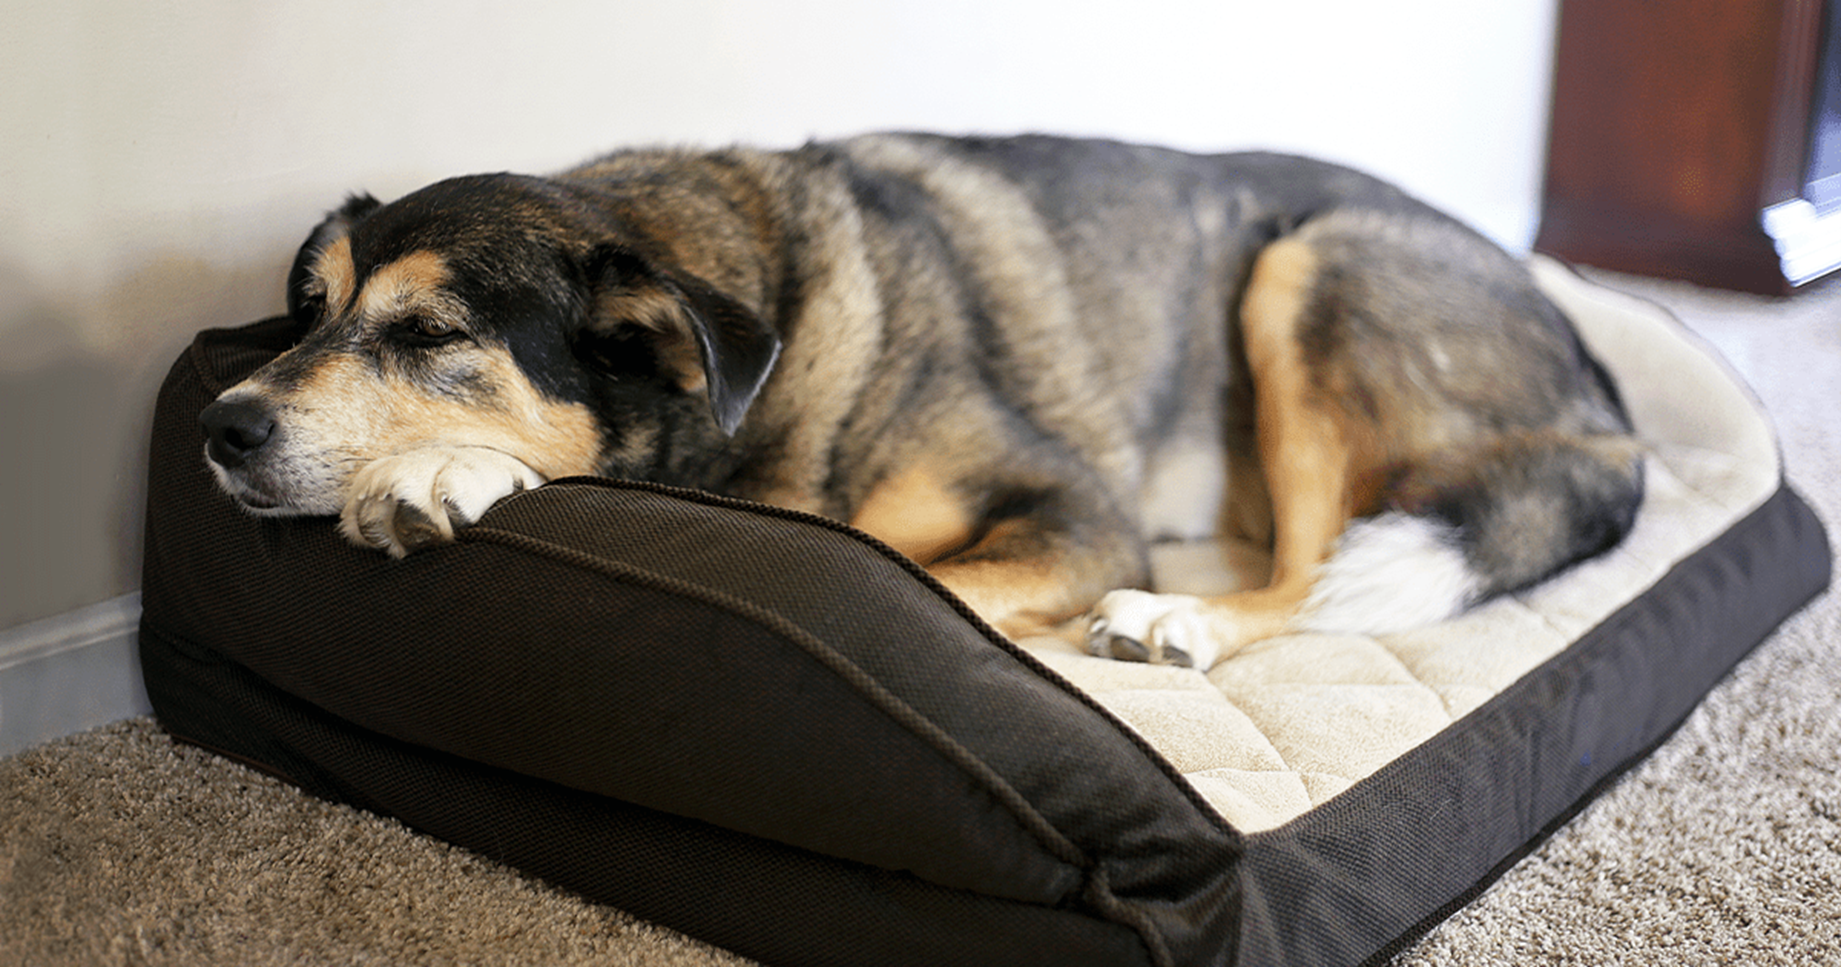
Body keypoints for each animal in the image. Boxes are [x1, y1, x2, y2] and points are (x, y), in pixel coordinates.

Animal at [197, 131, 1642, 666]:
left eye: (431, 331)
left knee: (1313, 574)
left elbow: (921, 580)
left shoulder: (1074, 509)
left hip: (1305, 270)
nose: (219, 425)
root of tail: (1608, 411)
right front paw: (450, 472)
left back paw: (1178, 618)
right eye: (310, 310)